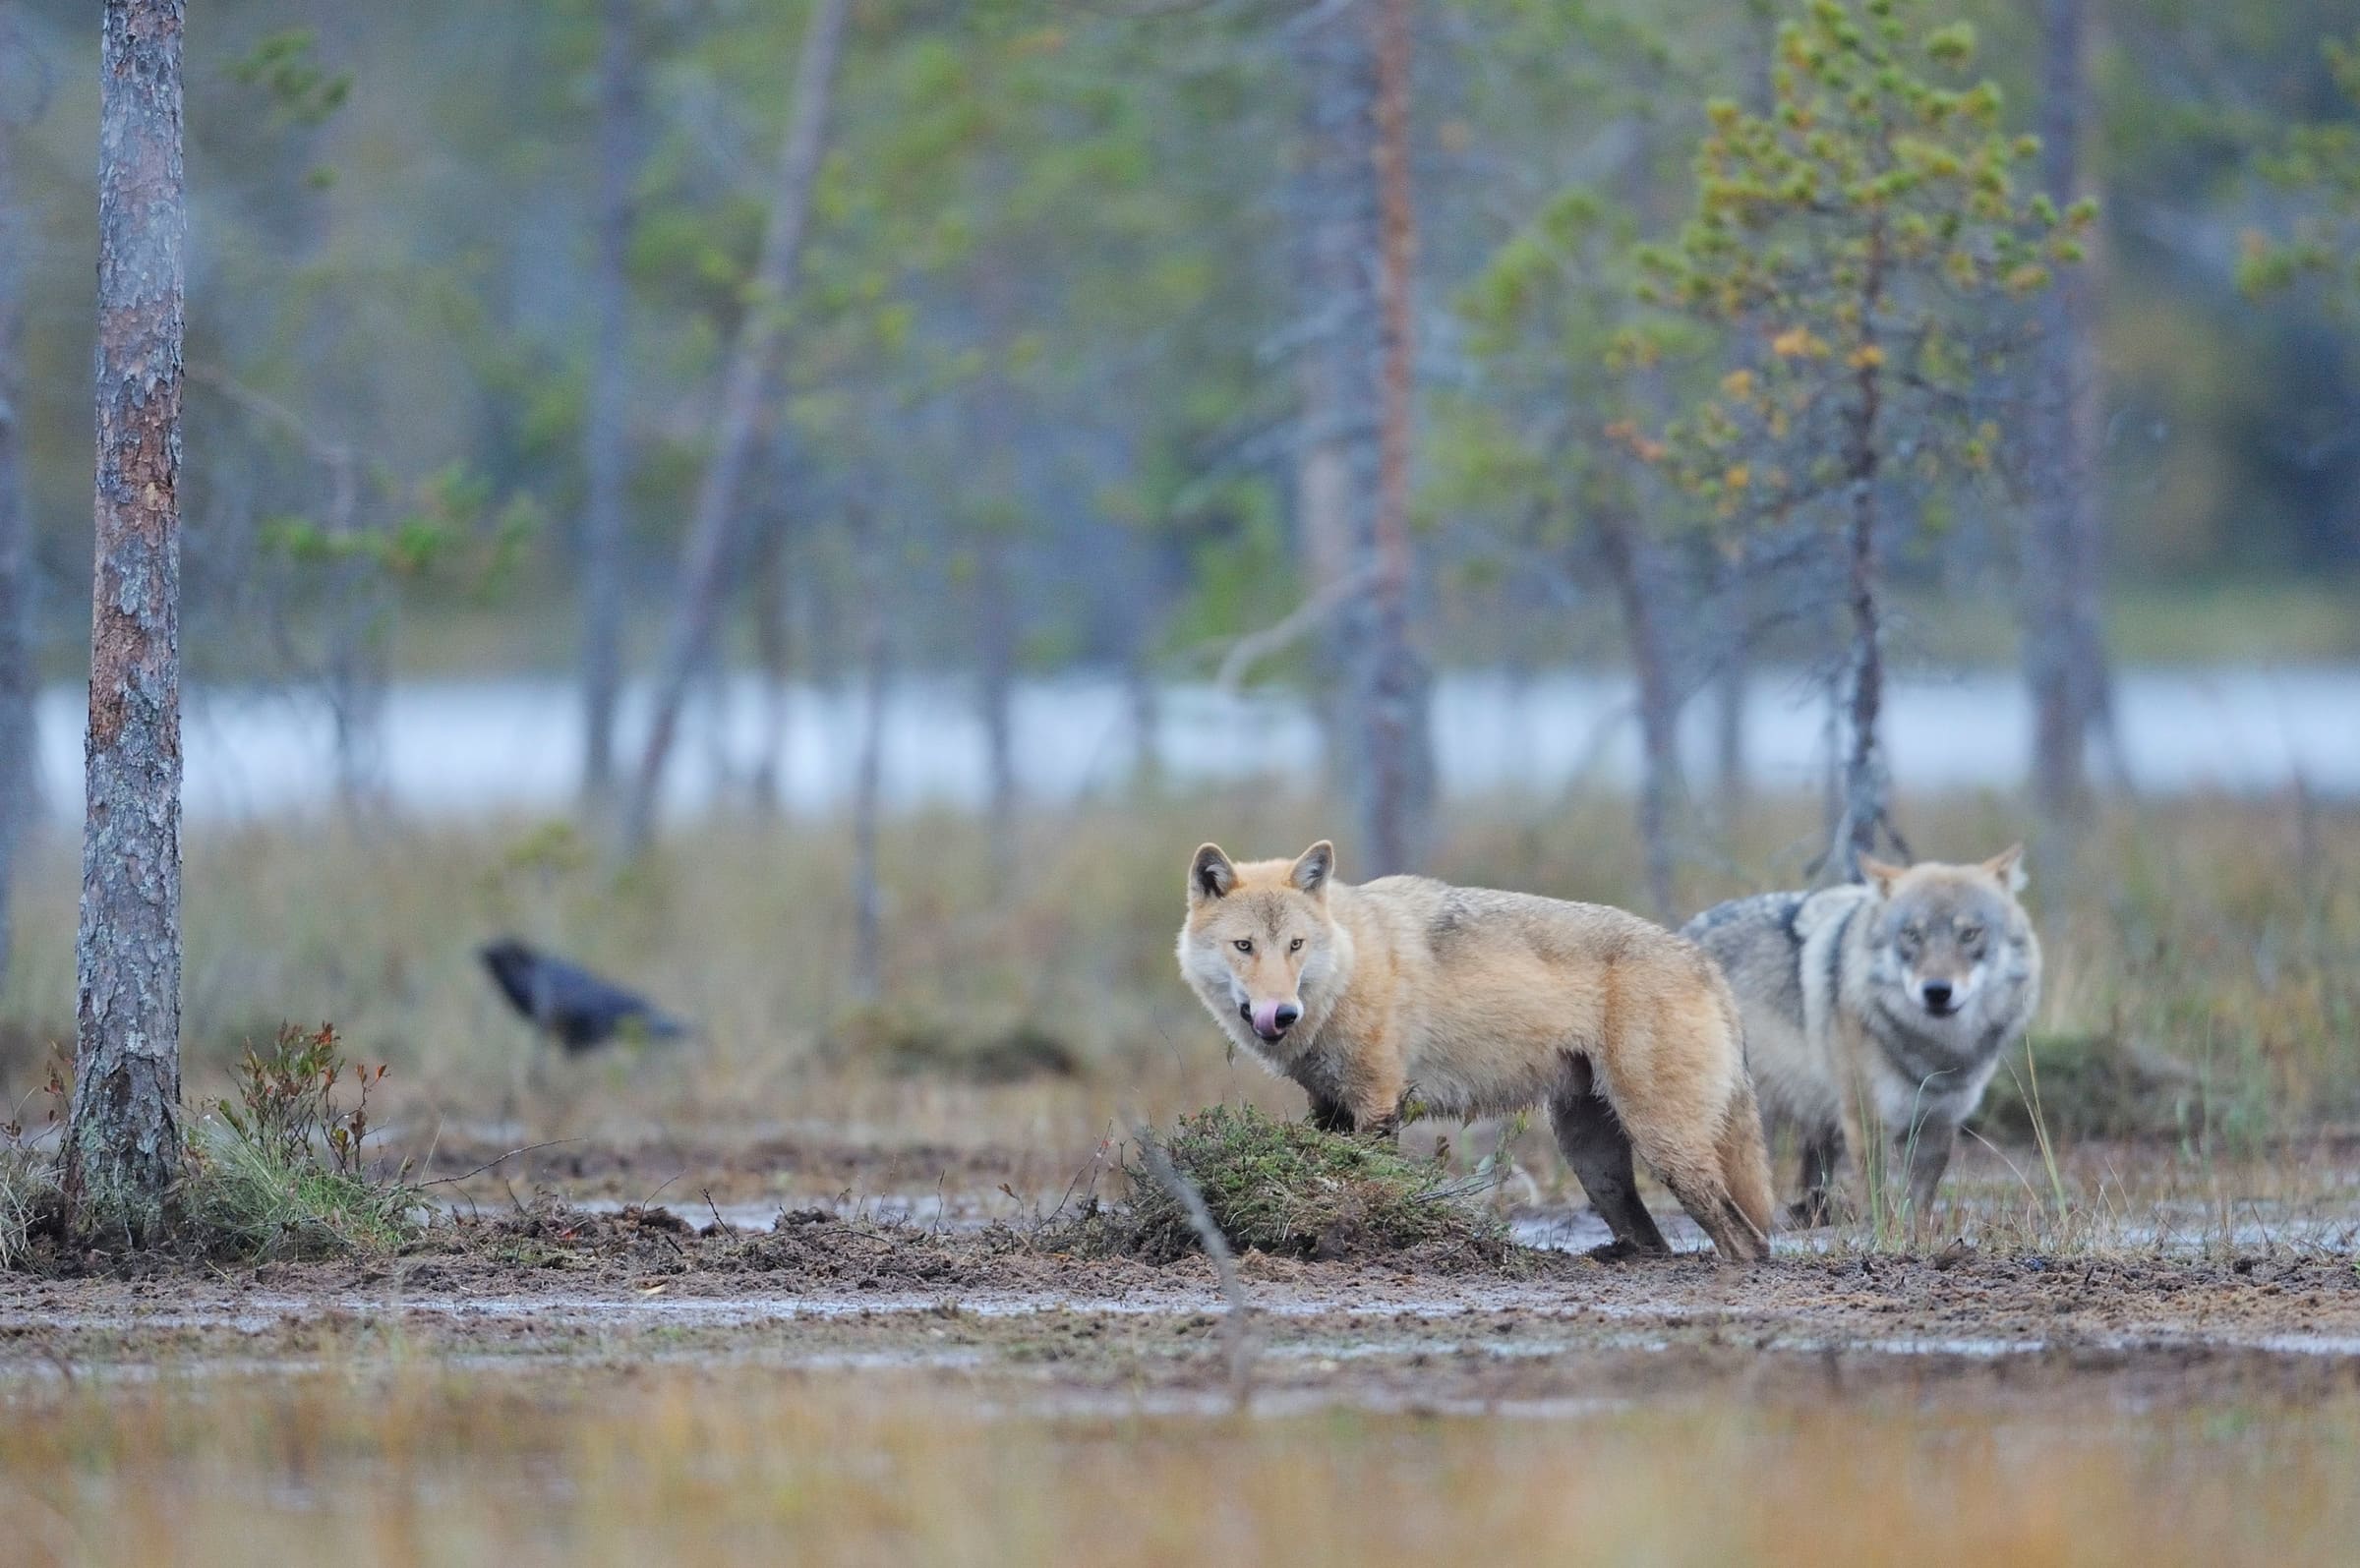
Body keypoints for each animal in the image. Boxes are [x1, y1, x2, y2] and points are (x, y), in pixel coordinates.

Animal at [1180, 843, 1774, 1263]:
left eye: (1295, 946)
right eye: (1244, 946)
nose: (1280, 1014)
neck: (1349, 964)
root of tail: (1703, 961)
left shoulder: (1378, 1103)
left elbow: (1366, 1185)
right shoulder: (1328, 1106)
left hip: (1663, 1146)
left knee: (1748, 1241)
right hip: (1595, 1163)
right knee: (1656, 1239)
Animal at [1680, 843, 2048, 1226]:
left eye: (1970, 933)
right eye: (1912, 935)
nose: (1936, 991)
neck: (1936, 1050)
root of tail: (1684, 930)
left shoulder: (1939, 1125)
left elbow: (1920, 1202)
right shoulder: (1866, 1119)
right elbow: (1877, 1195)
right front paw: (1883, 1233)